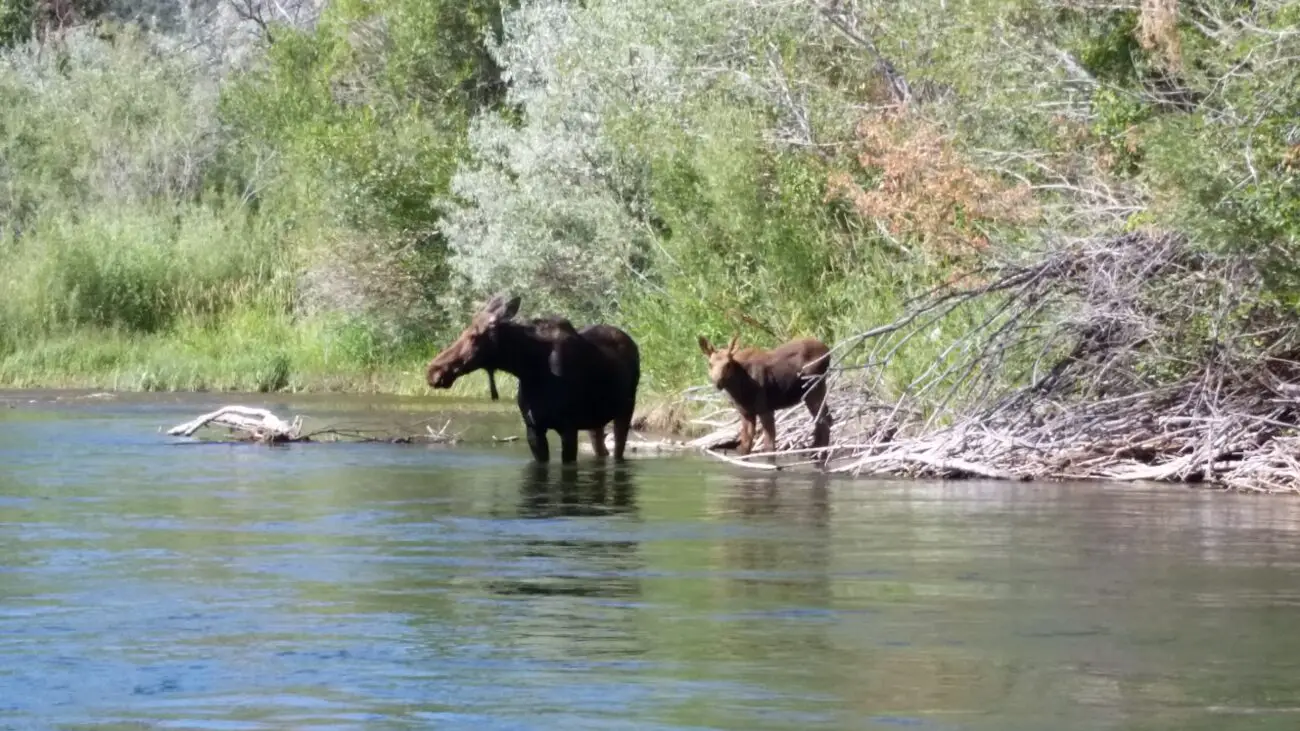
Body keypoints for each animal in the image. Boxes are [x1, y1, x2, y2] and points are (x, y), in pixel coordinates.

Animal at [428, 291, 642, 457]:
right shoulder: (533, 429)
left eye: (473, 336)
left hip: (625, 410)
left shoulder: (568, 428)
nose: (433, 371)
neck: (528, 368)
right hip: (595, 422)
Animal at [702, 332, 832, 457]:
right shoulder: (746, 413)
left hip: (814, 389)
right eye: (710, 364)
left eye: (728, 364)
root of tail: (828, 351)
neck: (738, 390)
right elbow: (745, 446)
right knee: (823, 420)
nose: (717, 382)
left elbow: (769, 447)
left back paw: (820, 454)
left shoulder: (765, 409)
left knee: (824, 422)